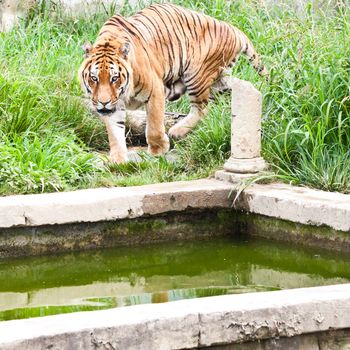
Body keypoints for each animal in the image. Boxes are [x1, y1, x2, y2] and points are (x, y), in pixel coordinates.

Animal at [78, 2, 266, 163]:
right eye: (94, 78)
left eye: (114, 78)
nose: (103, 102)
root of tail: (232, 29)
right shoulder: (114, 105)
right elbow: (114, 132)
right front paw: (117, 159)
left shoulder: (155, 91)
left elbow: (154, 125)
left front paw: (158, 150)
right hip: (219, 81)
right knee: (238, 88)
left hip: (196, 75)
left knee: (201, 109)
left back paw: (177, 131)